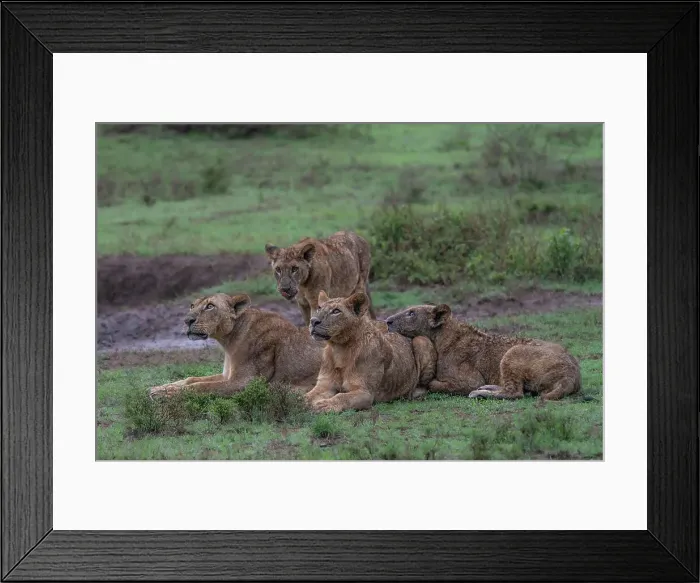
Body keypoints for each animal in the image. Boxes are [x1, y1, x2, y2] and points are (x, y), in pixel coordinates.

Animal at [148, 293, 324, 398]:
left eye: (210, 306)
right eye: (192, 305)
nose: (187, 320)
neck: (228, 341)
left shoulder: (243, 383)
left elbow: (201, 386)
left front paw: (167, 394)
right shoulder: (227, 375)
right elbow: (191, 379)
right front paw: (159, 389)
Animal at [304, 291, 436, 413]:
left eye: (336, 311)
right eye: (319, 308)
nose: (313, 321)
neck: (339, 349)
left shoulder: (365, 393)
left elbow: (342, 396)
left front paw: (325, 405)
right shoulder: (324, 384)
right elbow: (308, 396)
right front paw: (301, 402)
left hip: (421, 340)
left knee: (424, 386)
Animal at [385, 304, 581, 401]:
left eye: (411, 313)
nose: (387, 321)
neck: (440, 337)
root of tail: (573, 376)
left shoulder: (471, 380)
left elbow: (434, 384)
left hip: (513, 351)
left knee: (515, 393)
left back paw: (480, 393)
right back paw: (487, 388)